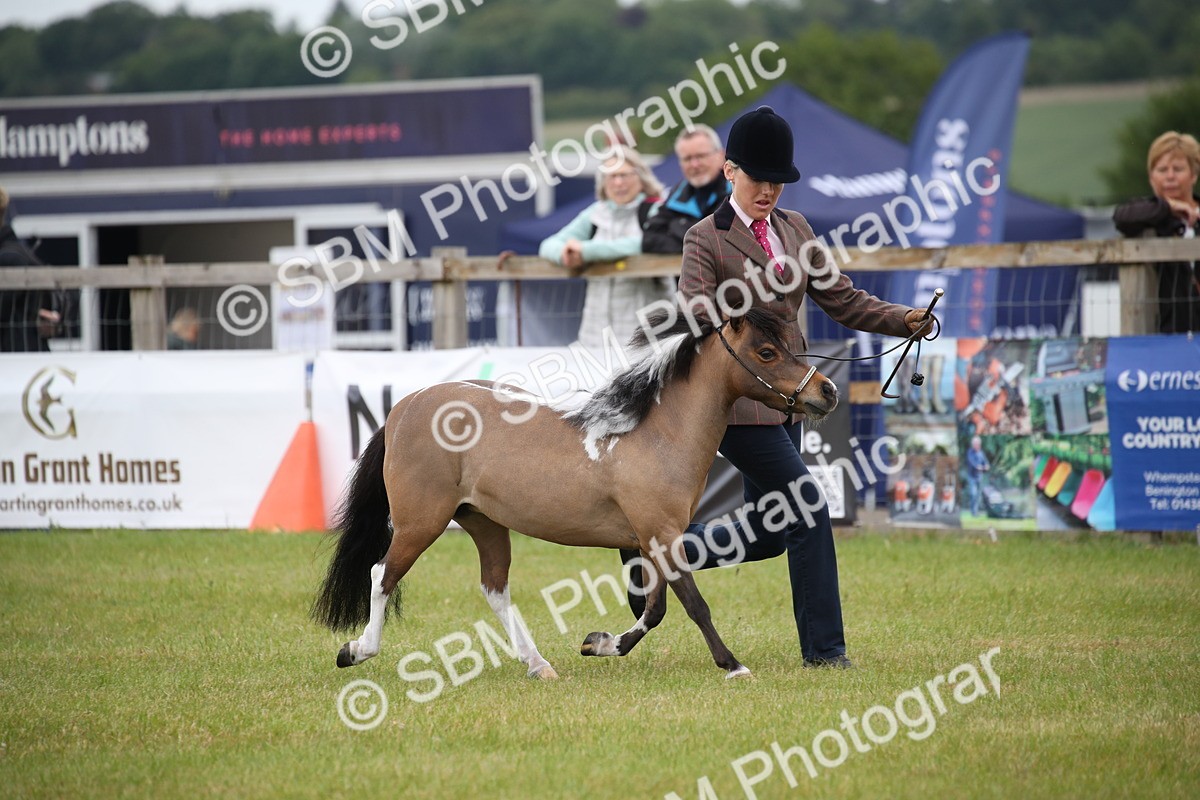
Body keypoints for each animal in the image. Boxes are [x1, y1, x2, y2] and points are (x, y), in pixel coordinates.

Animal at [312, 307, 839, 680]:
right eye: (766, 352)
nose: (828, 392)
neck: (653, 432)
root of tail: (405, 407)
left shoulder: (655, 537)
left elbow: (656, 608)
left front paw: (601, 643)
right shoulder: (662, 533)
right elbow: (693, 604)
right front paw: (733, 665)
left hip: (483, 521)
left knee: (495, 588)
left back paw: (539, 665)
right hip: (422, 522)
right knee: (382, 575)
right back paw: (357, 650)